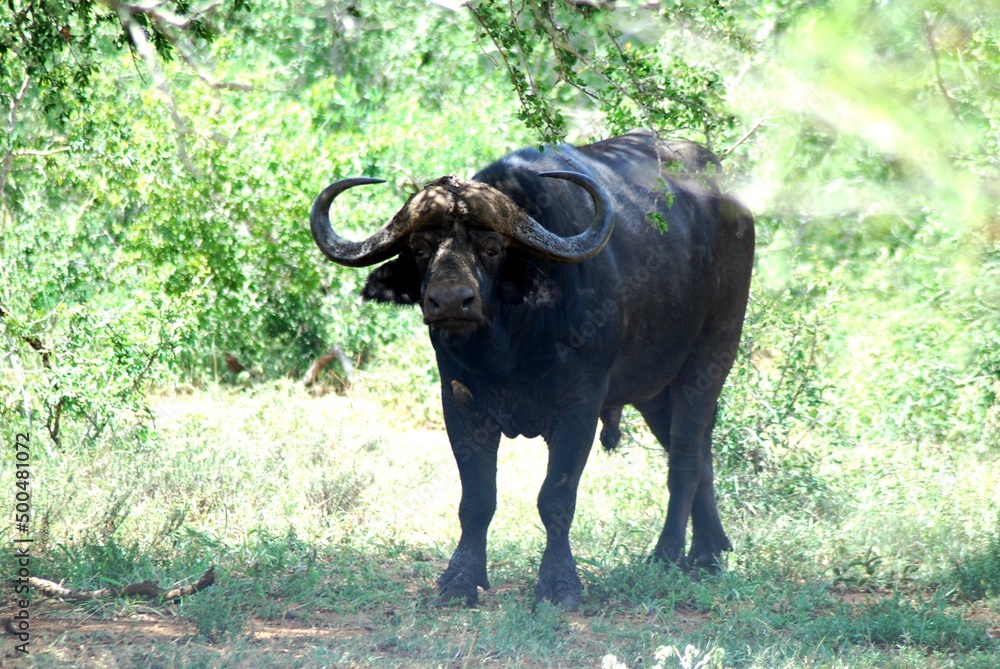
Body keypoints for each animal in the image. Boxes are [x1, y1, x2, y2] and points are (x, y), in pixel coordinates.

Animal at [310, 129, 754, 609]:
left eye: (491, 248)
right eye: (421, 248)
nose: (450, 302)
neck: (510, 348)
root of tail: (733, 203)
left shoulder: (579, 407)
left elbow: (555, 498)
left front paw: (560, 583)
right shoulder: (459, 404)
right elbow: (477, 499)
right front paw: (460, 579)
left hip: (713, 354)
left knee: (687, 457)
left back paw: (673, 555)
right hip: (654, 390)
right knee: (698, 454)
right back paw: (713, 548)